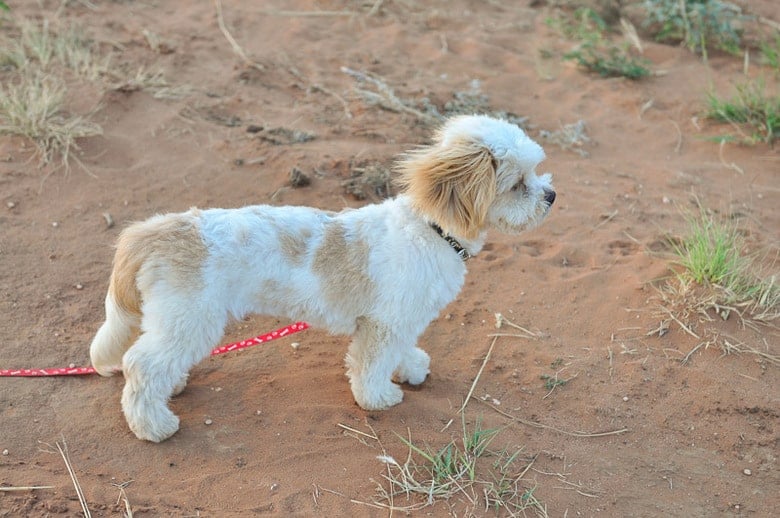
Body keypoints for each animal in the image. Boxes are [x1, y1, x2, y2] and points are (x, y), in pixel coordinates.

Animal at [90, 116, 556, 444]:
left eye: (535, 176)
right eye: (518, 184)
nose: (551, 196)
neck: (432, 228)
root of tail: (154, 231)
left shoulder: (401, 319)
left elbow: (402, 350)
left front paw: (411, 368)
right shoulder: (383, 325)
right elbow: (370, 365)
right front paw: (379, 398)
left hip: (176, 321)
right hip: (192, 319)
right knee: (140, 365)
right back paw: (153, 425)